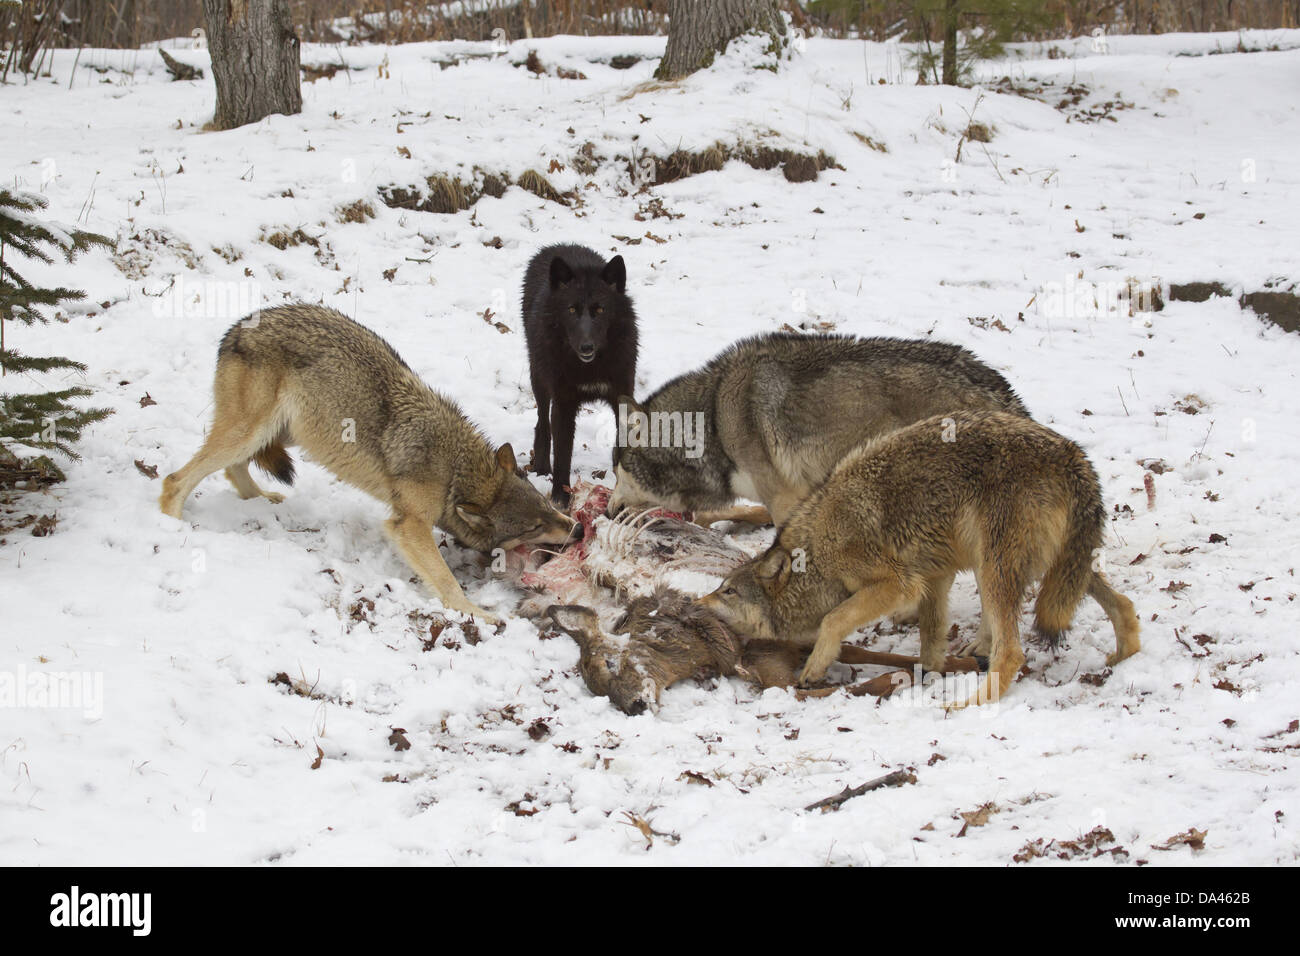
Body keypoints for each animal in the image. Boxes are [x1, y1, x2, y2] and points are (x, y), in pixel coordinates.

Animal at [158, 303, 574, 624]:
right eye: (534, 527)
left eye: (548, 506)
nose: (579, 529)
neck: (454, 469)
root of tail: (238, 327)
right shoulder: (409, 525)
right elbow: (446, 580)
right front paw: (476, 612)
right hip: (254, 431)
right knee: (176, 479)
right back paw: (173, 526)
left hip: (289, 432)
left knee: (232, 468)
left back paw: (261, 500)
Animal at [520, 244, 637, 509]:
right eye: (571, 309)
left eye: (600, 309)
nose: (586, 346)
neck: (590, 366)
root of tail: (558, 246)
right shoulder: (563, 403)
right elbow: (563, 455)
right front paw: (560, 498)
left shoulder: (622, 398)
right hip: (539, 378)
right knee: (542, 422)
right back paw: (541, 466)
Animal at [702, 411, 1138, 712]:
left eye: (727, 591)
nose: (694, 602)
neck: (819, 549)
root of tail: (1071, 454)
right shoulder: (934, 576)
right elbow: (931, 636)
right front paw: (927, 673)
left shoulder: (899, 582)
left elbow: (834, 620)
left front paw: (814, 669)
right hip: (1048, 566)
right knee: (1121, 602)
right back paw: (1124, 655)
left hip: (994, 567)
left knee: (1013, 651)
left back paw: (970, 705)